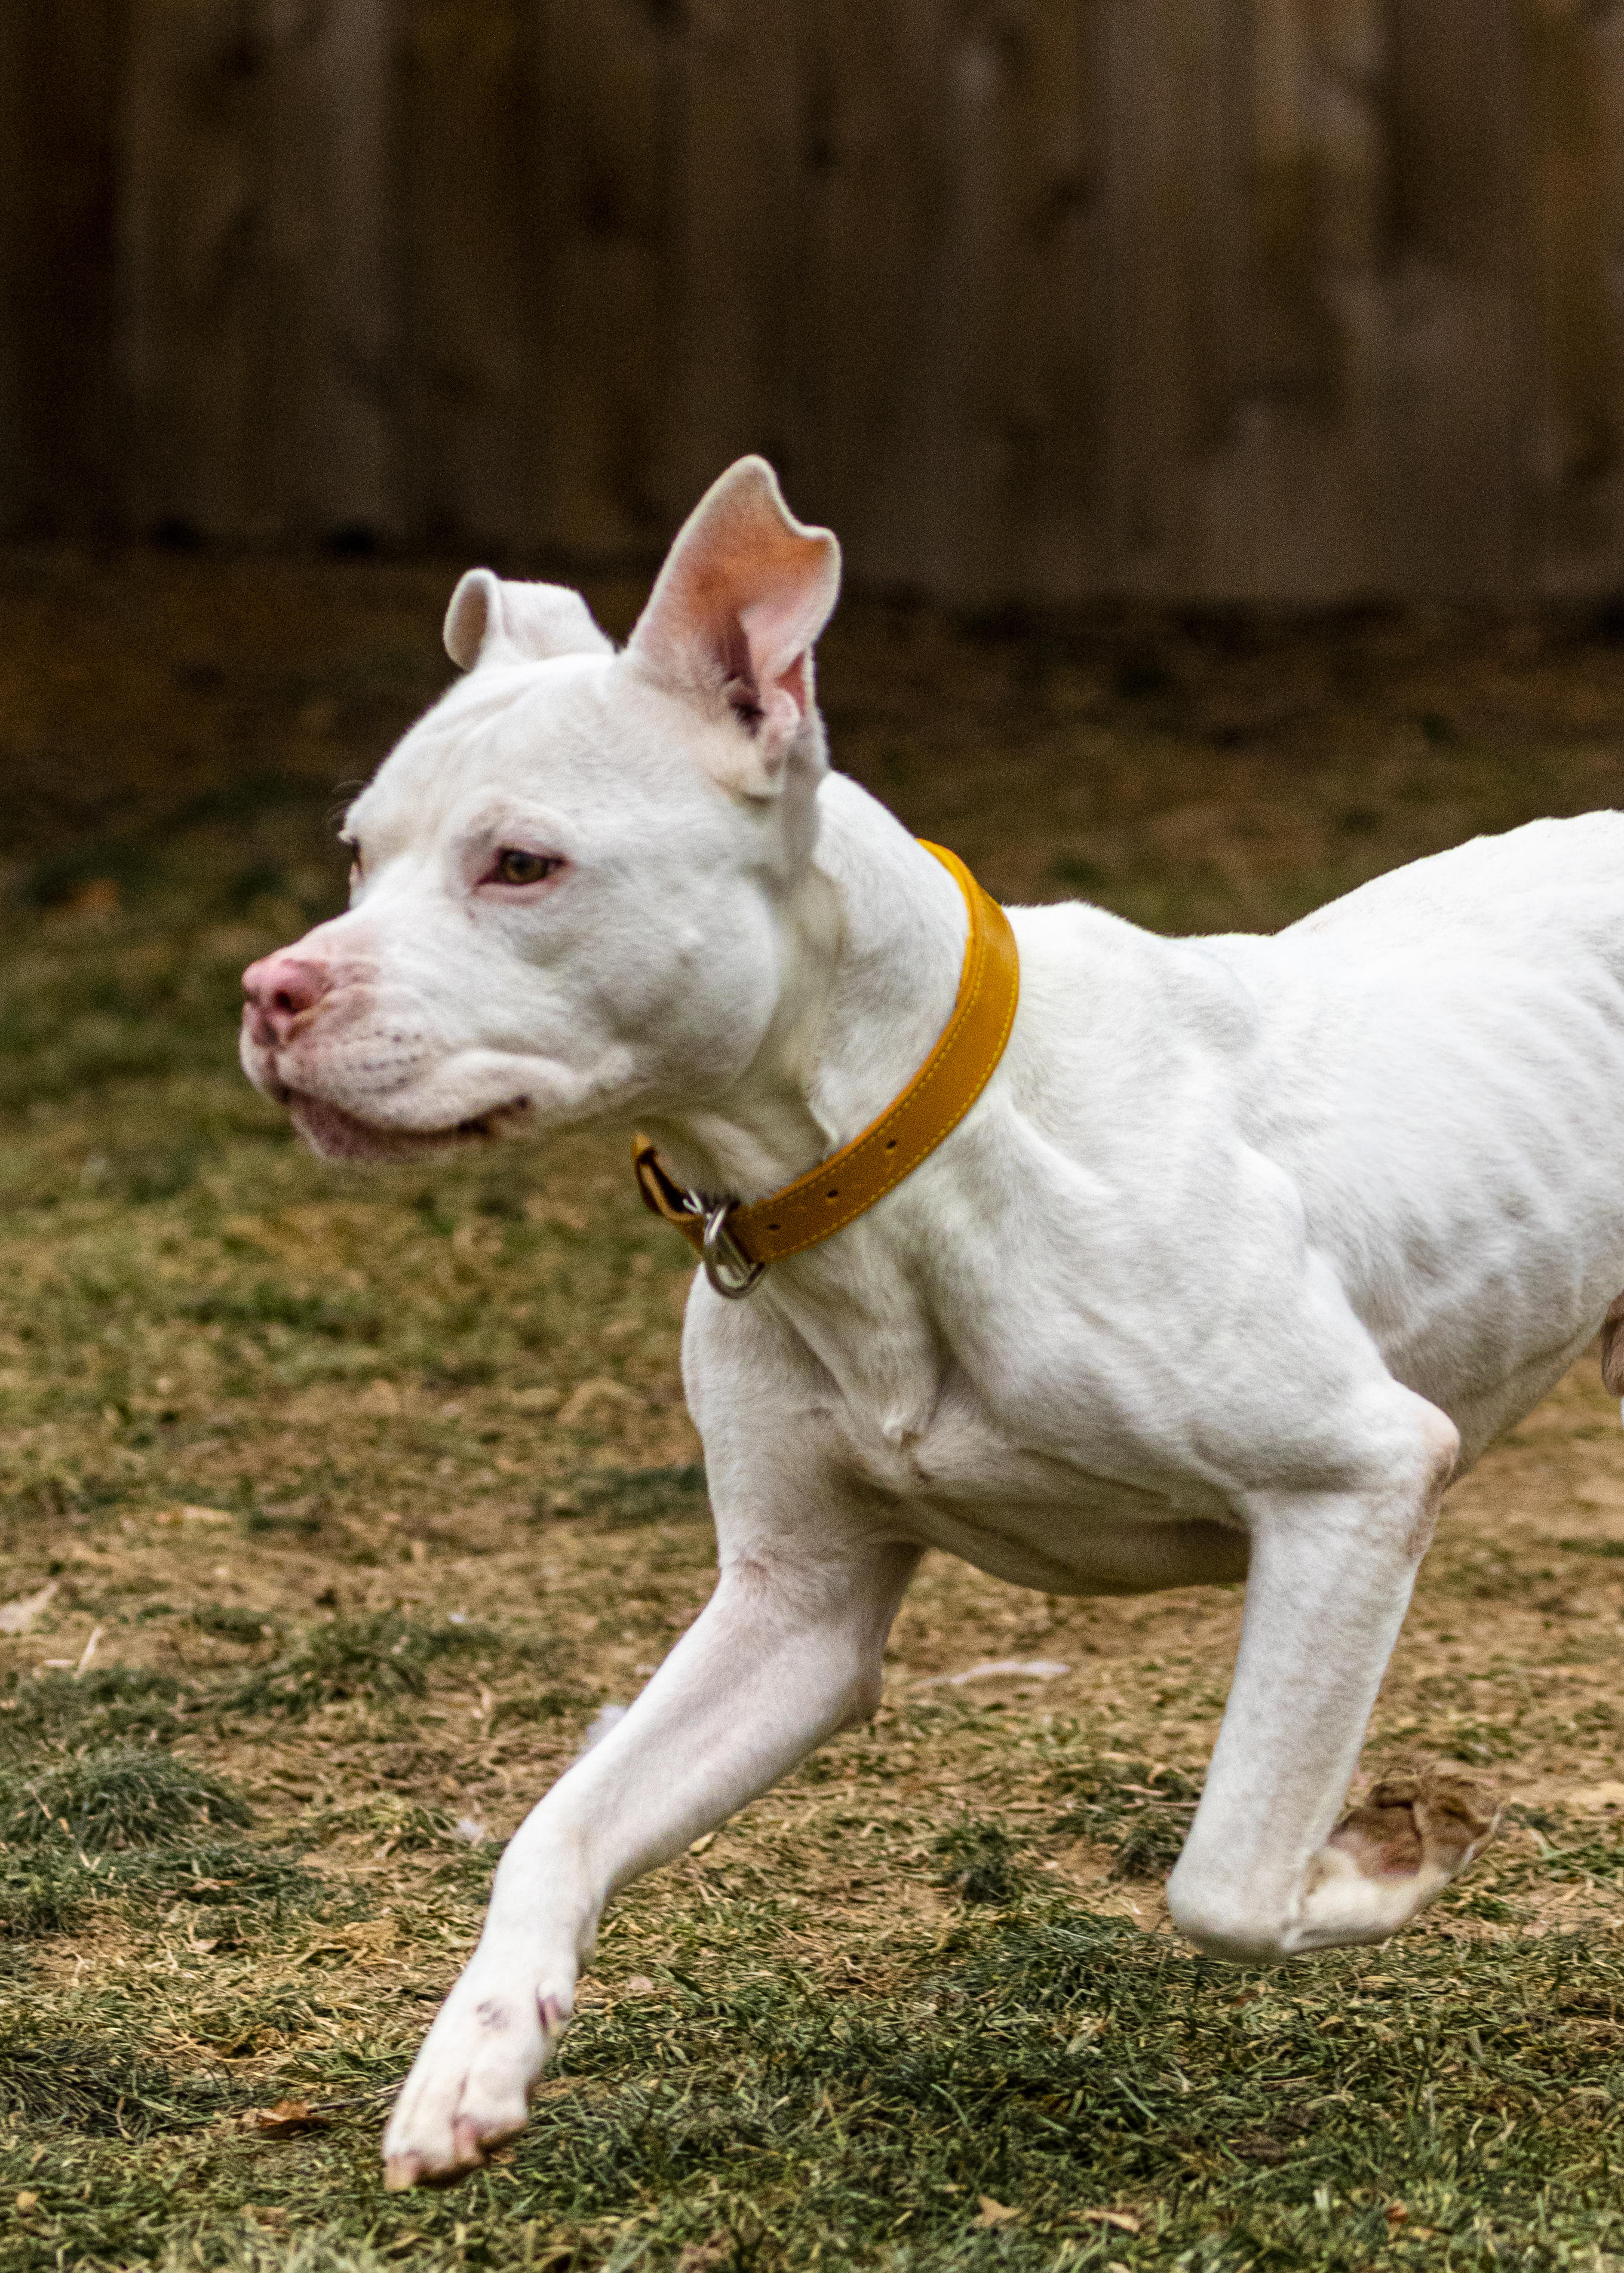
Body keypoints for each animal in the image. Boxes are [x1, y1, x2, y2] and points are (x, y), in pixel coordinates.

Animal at [237, 457, 1610, 2182]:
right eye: (360, 854)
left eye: (522, 864)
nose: (270, 994)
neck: (877, 1162)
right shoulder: (796, 1609)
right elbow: (556, 1821)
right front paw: (473, 2057)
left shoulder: (1355, 1479)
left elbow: (1223, 1875)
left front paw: (1378, 1860)